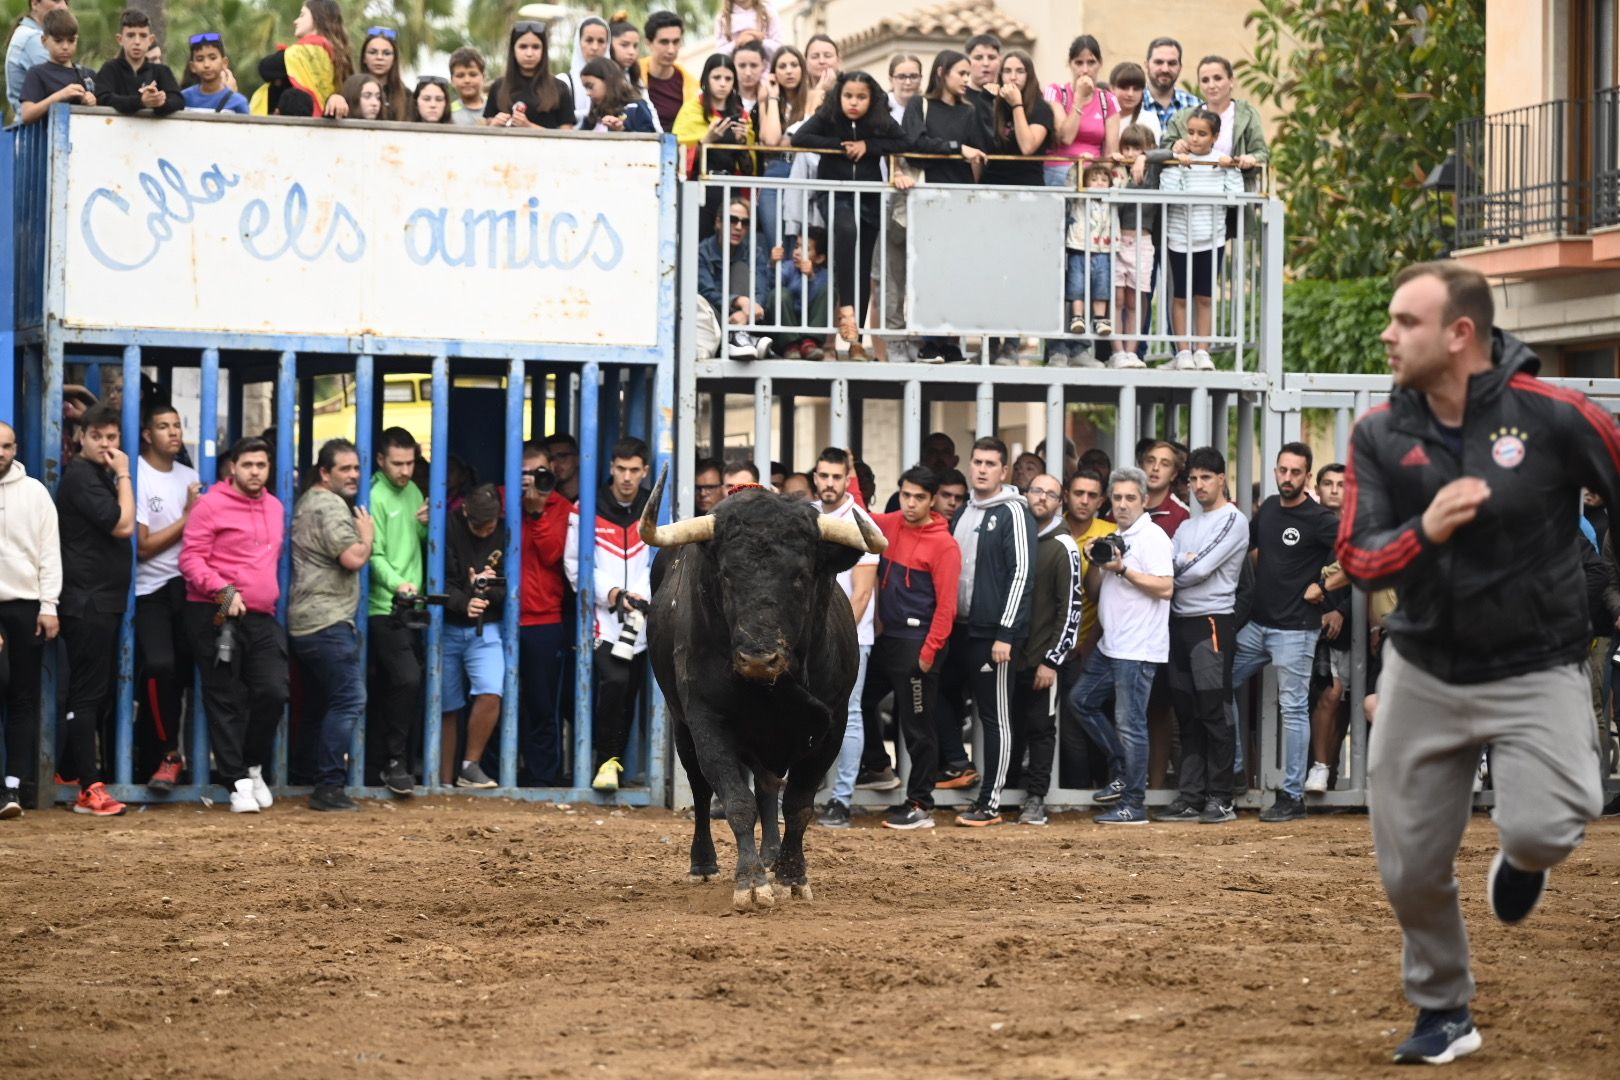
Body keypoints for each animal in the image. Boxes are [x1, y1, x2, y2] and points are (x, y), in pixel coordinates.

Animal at [638, 472, 887, 913]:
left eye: (801, 575)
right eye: (726, 575)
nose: (757, 657)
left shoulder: (833, 725)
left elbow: (798, 803)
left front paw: (791, 875)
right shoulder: (707, 720)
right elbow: (737, 800)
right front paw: (751, 882)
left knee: (770, 786)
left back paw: (771, 854)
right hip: (683, 727)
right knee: (702, 789)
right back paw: (704, 864)